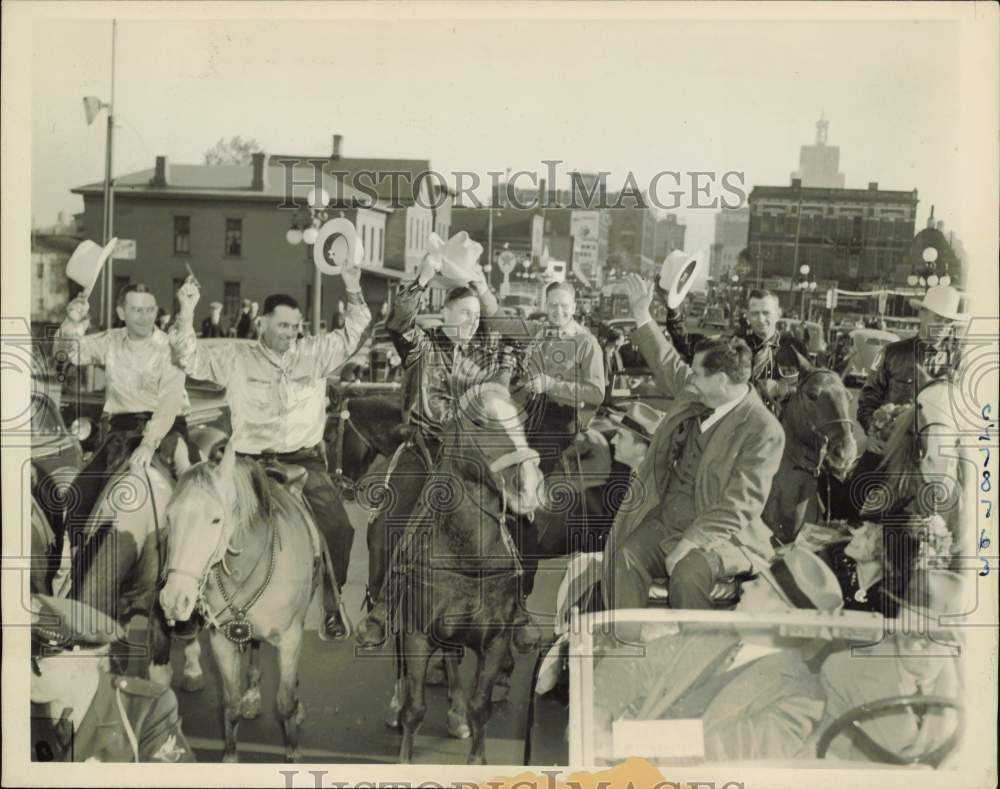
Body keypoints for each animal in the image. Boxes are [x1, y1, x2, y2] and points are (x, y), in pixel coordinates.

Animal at [158, 440, 320, 760]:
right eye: (169, 517)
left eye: (215, 519)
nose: (173, 599)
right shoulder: (222, 641)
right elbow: (230, 704)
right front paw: (231, 755)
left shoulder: (291, 637)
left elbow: (285, 702)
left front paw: (293, 749)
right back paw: (252, 696)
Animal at [392, 382, 548, 764]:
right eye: (478, 421)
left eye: (522, 418)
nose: (529, 486)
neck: (466, 556)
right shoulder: (416, 634)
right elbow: (414, 709)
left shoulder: (495, 640)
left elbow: (481, 706)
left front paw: (476, 756)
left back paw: (456, 714)